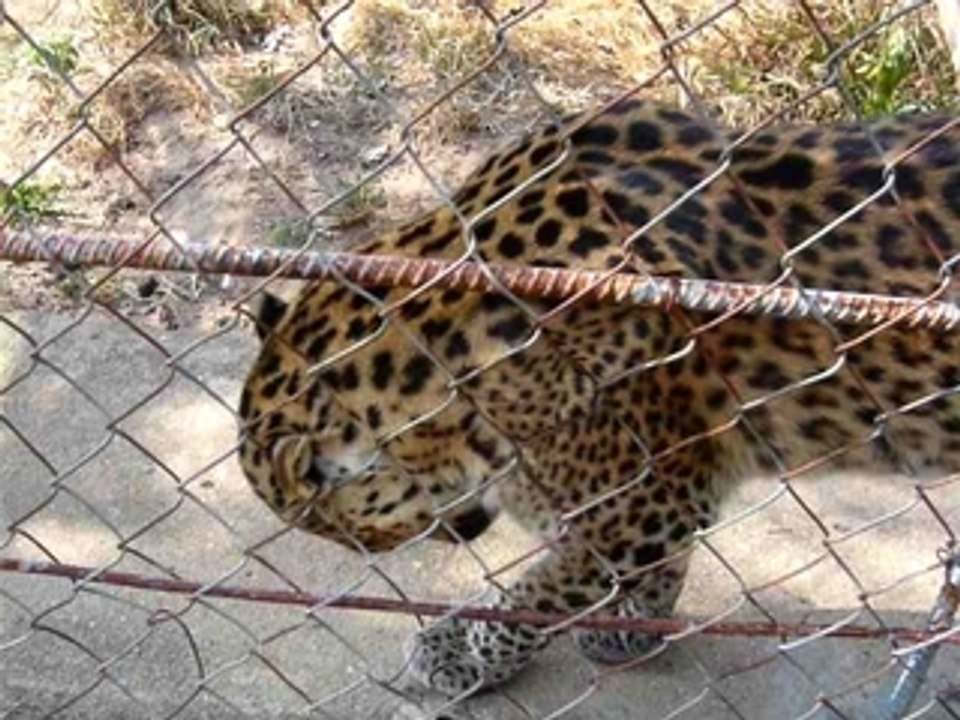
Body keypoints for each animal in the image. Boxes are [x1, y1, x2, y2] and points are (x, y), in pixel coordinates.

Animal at [237, 96, 960, 696]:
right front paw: (631, 625)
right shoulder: (660, 499)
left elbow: (536, 594)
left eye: (348, 533)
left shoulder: (637, 507)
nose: (447, 540)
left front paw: (463, 653)